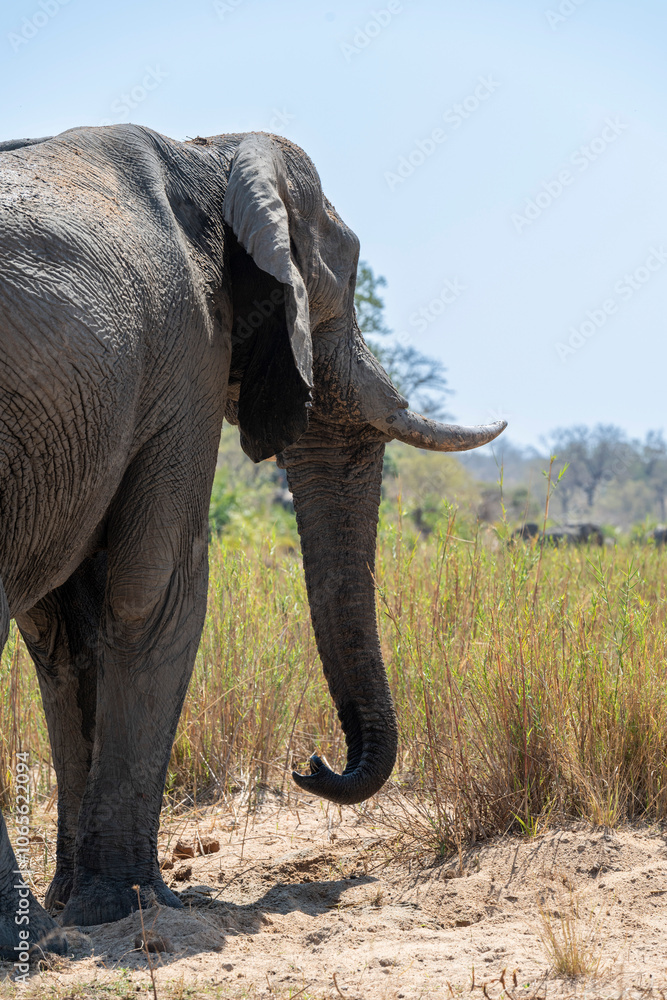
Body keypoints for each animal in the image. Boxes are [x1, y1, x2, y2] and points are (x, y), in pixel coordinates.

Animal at [0, 123, 505, 954]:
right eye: (340, 283)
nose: (311, 762)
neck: (210, 150)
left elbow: (65, 636)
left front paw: (83, 903)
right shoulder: (185, 353)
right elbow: (157, 591)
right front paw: (131, 906)